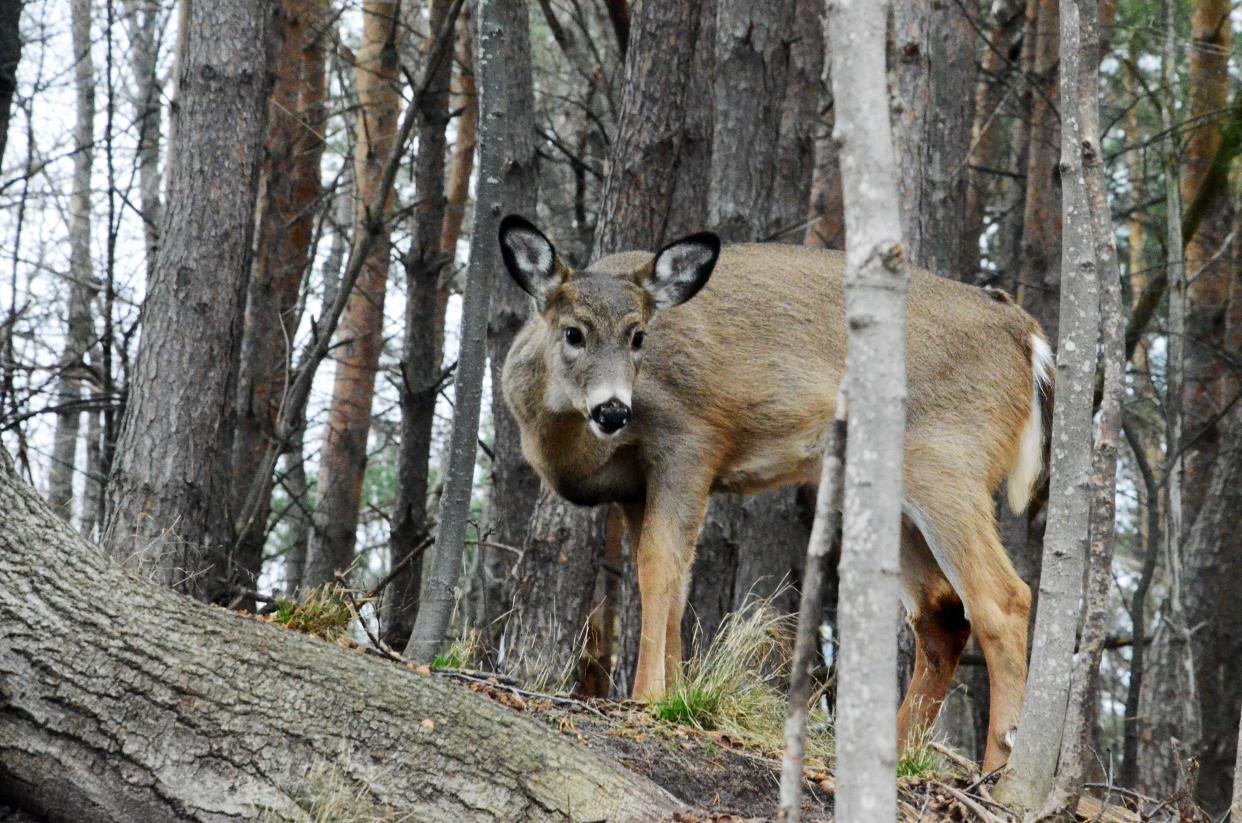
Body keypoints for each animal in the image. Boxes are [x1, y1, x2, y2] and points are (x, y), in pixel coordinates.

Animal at [499, 213, 1053, 774]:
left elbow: (660, 565)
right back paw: (891, 759)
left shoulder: (691, 438)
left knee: (1002, 599)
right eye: (573, 332)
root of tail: (1025, 335)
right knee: (942, 612)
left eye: (638, 336)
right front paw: (676, 694)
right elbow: (670, 579)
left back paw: (996, 771)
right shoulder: (633, 488)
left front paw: (648, 697)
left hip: (946, 457)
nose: (613, 410)